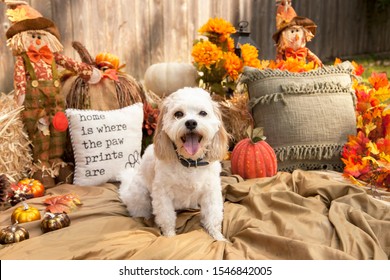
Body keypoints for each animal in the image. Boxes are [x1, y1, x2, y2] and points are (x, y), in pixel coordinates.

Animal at [119, 87, 229, 241]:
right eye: (178, 114)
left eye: (203, 113)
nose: (191, 123)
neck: (190, 162)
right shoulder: (162, 194)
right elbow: (167, 218)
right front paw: (170, 237)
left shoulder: (211, 191)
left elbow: (213, 217)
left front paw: (219, 238)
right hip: (140, 196)